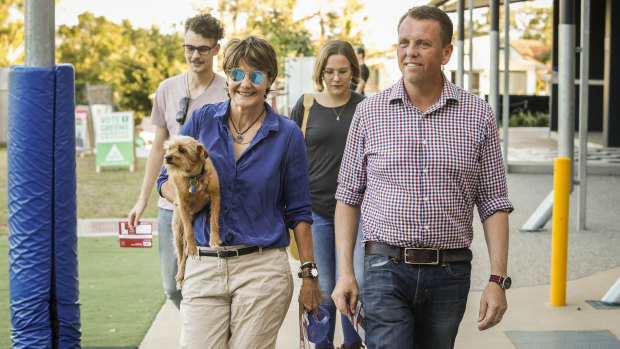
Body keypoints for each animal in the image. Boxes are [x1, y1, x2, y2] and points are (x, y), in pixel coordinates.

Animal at [163, 135, 222, 290]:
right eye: (169, 148)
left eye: (182, 149)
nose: (167, 157)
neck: (193, 176)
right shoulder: (183, 206)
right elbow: (190, 231)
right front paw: (192, 247)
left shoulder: (215, 196)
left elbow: (214, 221)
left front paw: (214, 240)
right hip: (178, 231)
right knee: (181, 255)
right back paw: (179, 276)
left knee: (183, 255)